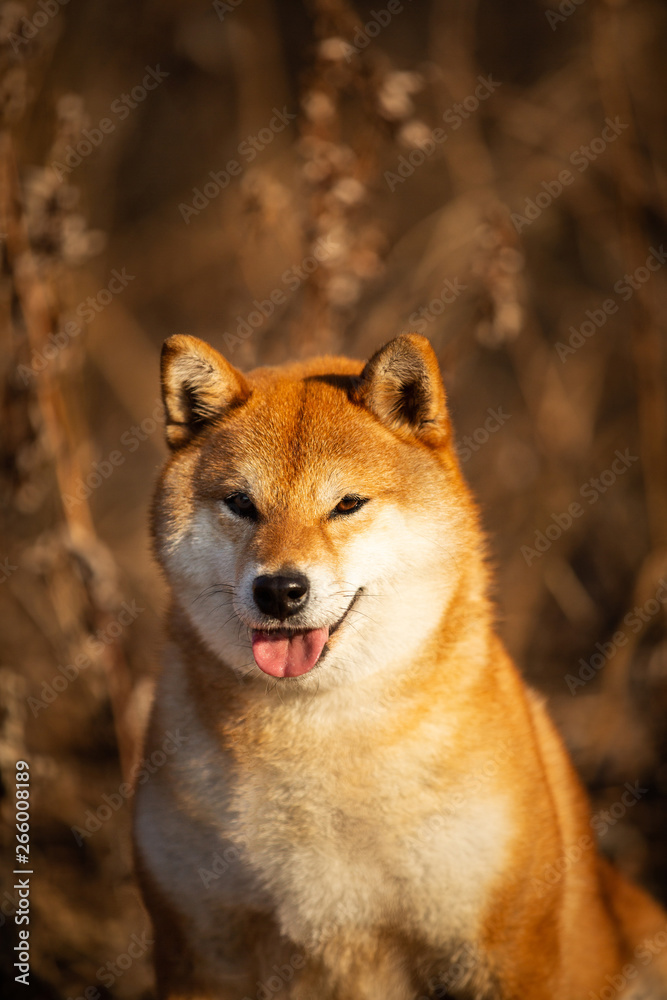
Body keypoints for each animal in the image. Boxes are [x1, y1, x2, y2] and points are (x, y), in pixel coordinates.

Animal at [133, 336, 667, 1000]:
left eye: (347, 504)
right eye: (241, 503)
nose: (279, 589)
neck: (317, 733)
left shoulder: (503, 952)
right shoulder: (199, 950)